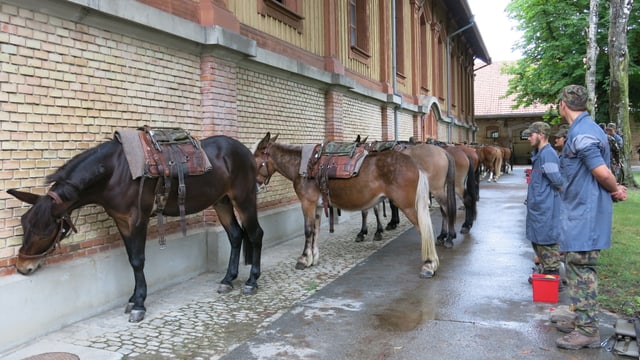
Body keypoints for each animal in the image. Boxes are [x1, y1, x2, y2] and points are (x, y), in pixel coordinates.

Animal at [7, 134, 262, 322]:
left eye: (45, 232)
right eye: (24, 224)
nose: (22, 267)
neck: (115, 172)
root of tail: (246, 152)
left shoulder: (138, 219)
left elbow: (138, 260)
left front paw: (139, 303)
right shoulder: (121, 221)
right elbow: (131, 258)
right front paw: (132, 298)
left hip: (244, 199)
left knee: (255, 234)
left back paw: (252, 281)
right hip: (222, 201)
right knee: (235, 236)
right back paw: (228, 280)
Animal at [251, 134, 440, 278]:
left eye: (254, 160)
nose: (255, 187)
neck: (304, 168)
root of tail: (414, 164)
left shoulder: (307, 203)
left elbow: (308, 230)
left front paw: (303, 259)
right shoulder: (318, 206)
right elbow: (316, 230)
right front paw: (313, 257)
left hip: (409, 207)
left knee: (424, 229)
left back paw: (429, 264)